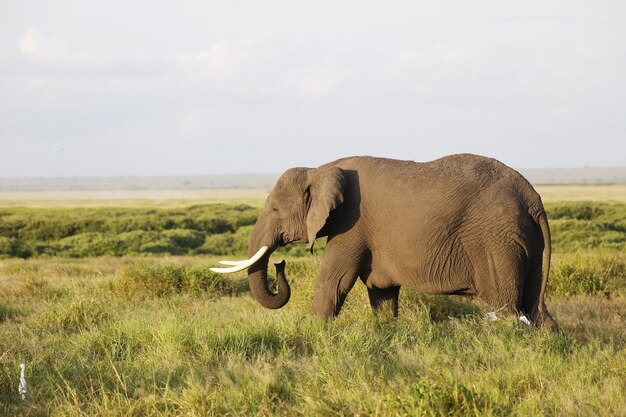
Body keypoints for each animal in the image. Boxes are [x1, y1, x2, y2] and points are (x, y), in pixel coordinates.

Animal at [212, 153, 560, 328]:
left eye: (274, 209)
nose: (281, 263)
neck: (321, 169)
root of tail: (533, 198)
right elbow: (381, 291)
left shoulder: (352, 224)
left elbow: (333, 281)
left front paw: (318, 333)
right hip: (524, 240)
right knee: (535, 307)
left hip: (496, 242)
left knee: (506, 308)